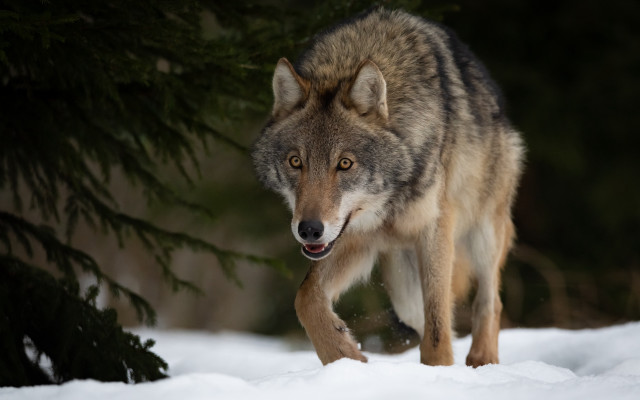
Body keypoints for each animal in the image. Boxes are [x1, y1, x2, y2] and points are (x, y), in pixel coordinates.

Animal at [252, 7, 524, 367]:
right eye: (295, 162)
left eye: (345, 164)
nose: (309, 229)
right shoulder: (354, 238)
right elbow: (306, 297)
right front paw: (345, 356)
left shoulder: (435, 227)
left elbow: (438, 330)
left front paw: (439, 371)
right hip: (404, 291)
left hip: (483, 234)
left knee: (489, 301)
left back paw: (482, 362)